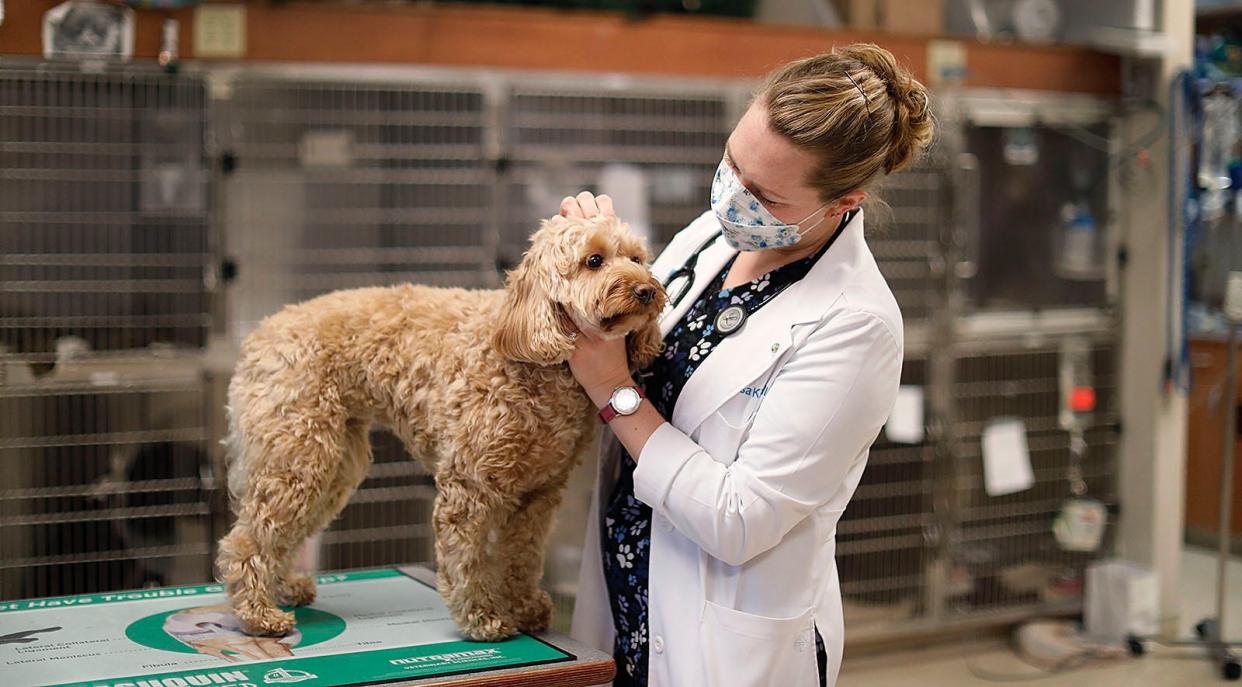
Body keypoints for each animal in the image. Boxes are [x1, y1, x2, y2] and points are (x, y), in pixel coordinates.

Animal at [218, 213, 665, 636]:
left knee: (283, 531)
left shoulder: (539, 494)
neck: (533, 358)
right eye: (594, 260)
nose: (647, 290)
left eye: (637, 259)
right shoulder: (469, 484)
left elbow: (522, 555)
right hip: (299, 454)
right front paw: (483, 617)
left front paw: (524, 607)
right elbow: (467, 558)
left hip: (333, 461)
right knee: (248, 537)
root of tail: (258, 336)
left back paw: (284, 587)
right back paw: (258, 613)